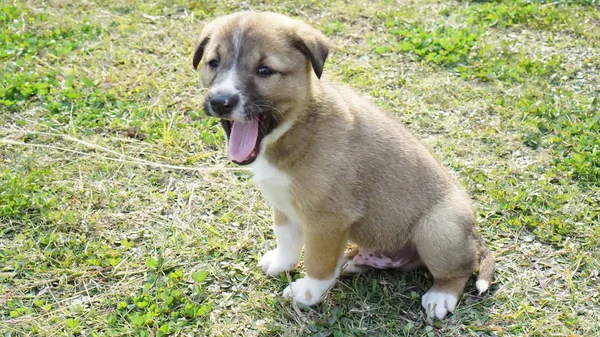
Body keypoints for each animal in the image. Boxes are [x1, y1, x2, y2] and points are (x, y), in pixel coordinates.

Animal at [192, 11, 492, 318]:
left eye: (264, 70)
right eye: (213, 63)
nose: (220, 101)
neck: (299, 128)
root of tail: (474, 236)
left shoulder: (327, 221)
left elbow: (318, 262)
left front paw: (307, 293)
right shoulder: (284, 204)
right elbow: (286, 238)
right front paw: (281, 263)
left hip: (437, 229)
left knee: (459, 269)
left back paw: (440, 297)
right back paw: (353, 261)